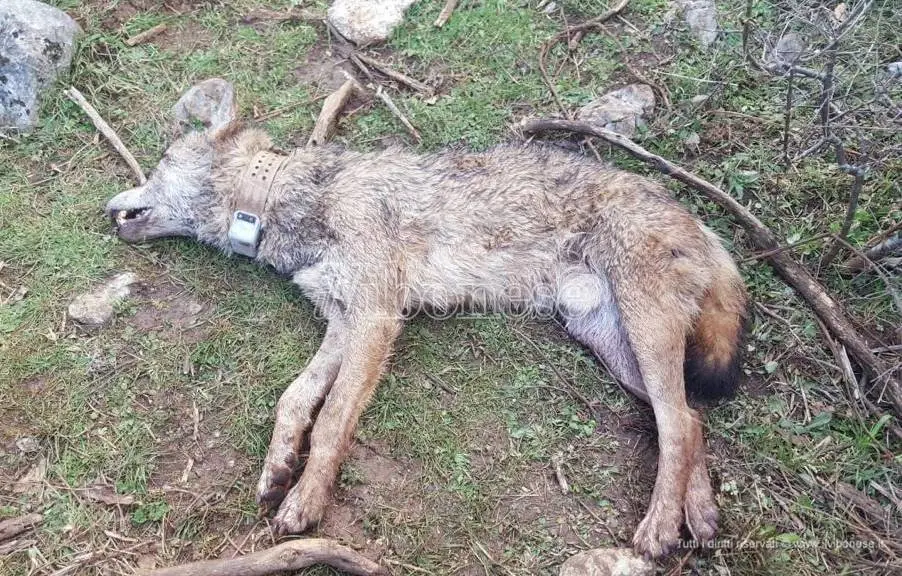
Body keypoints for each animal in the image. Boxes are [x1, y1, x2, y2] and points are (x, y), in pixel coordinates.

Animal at [105, 80, 747, 558]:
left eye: (158, 164)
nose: (108, 209)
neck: (292, 198)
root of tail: (698, 220)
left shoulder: (376, 320)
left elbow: (332, 420)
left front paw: (306, 503)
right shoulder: (344, 322)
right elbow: (294, 399)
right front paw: (278, 467)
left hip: (642, 332)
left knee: (677, 421)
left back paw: (660, 529)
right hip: (614, 346)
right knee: (687, 419)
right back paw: (700, 516)